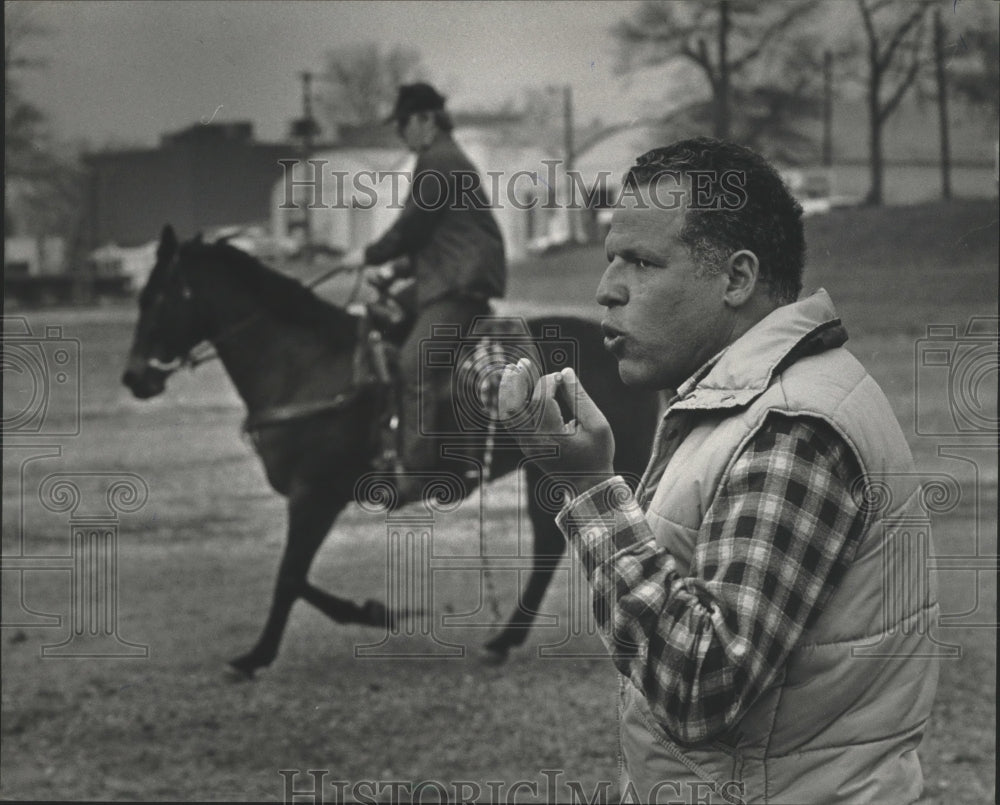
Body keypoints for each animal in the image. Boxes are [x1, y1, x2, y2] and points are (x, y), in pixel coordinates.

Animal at [123, 228, 656, 680]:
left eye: (158, 297)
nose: (134, 377)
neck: (307, 367)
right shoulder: (316, 497)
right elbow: (297, 576)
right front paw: (373, 612)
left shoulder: (314, 494)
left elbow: (290, 576)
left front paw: (258, 654)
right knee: (551, 541)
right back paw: (503, 641)